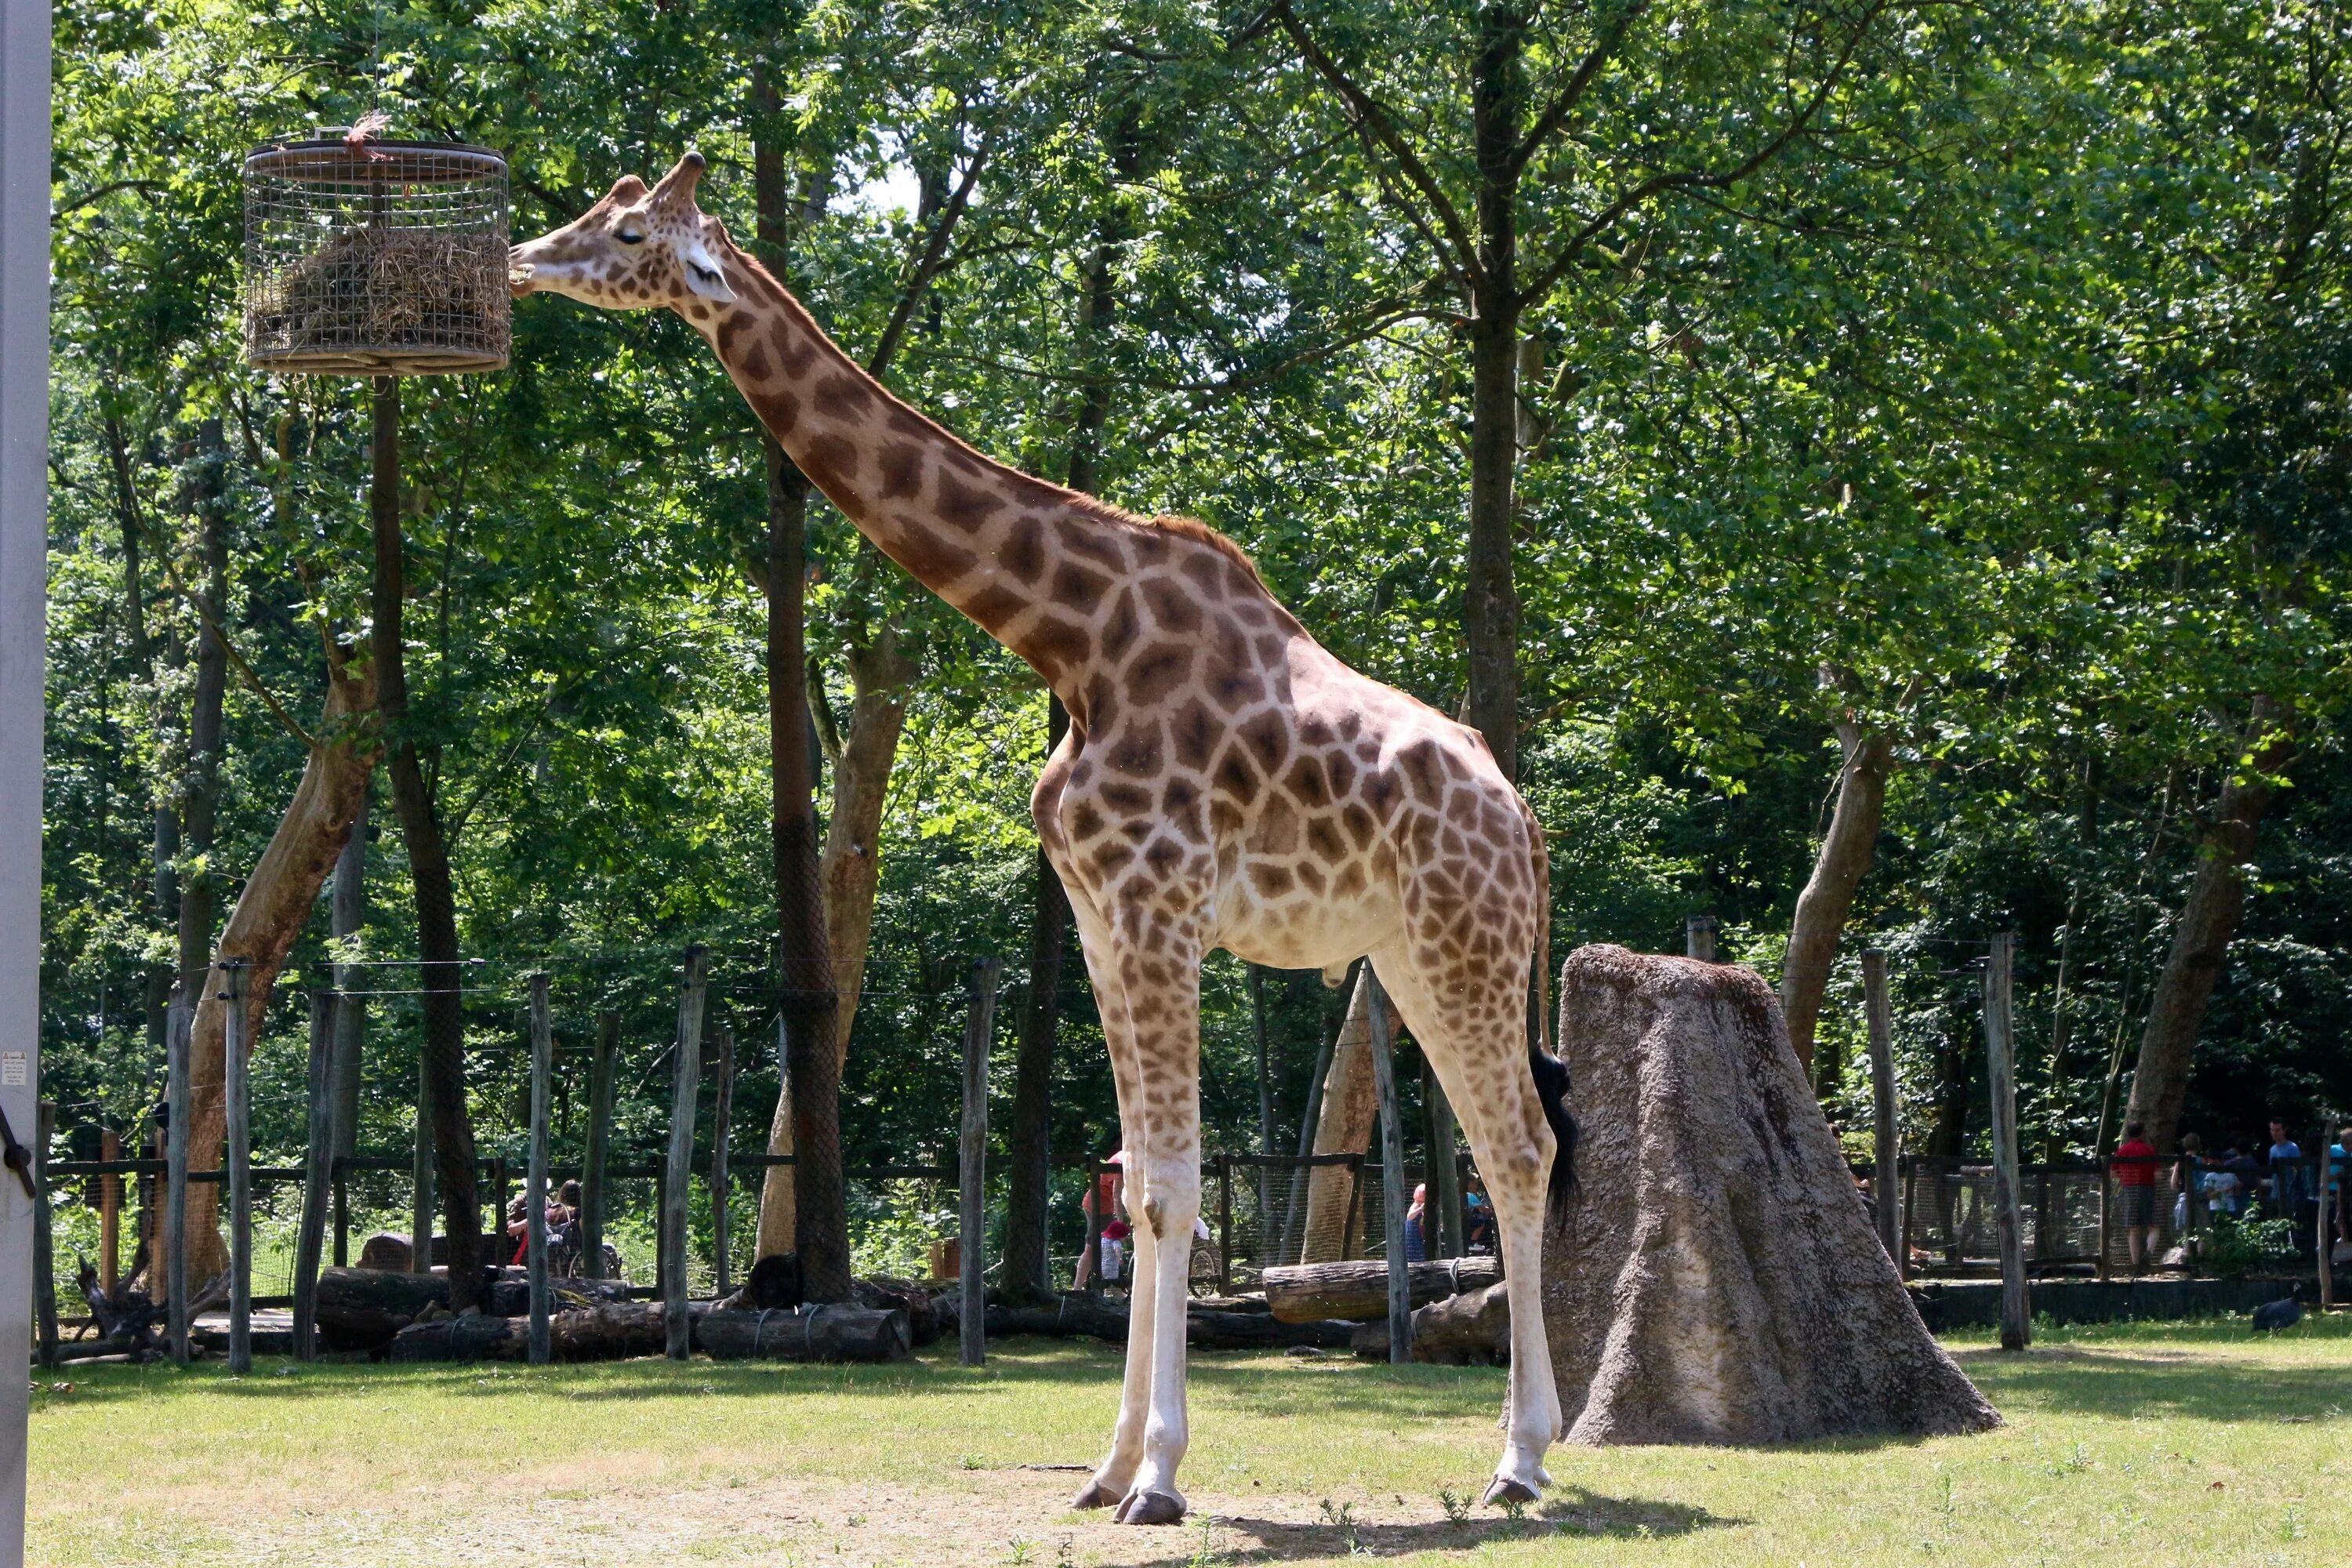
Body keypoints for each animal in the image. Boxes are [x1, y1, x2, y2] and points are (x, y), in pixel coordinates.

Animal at [515, 152, 1581, 1523]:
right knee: (1512, 1148)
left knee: (1523, 1148)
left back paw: (1520, 1459)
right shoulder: (1097, 914)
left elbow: (1172, 1188)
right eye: (600, 210)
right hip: (1406, 954)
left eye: (625, 233)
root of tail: (1523, 815)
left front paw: (1163, 1476)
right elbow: (1141, 1174)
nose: (522, 259)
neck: (1070, 637)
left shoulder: (1158, 903)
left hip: (1467, 942)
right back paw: (1522, 1456)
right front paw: (1108, 1466)